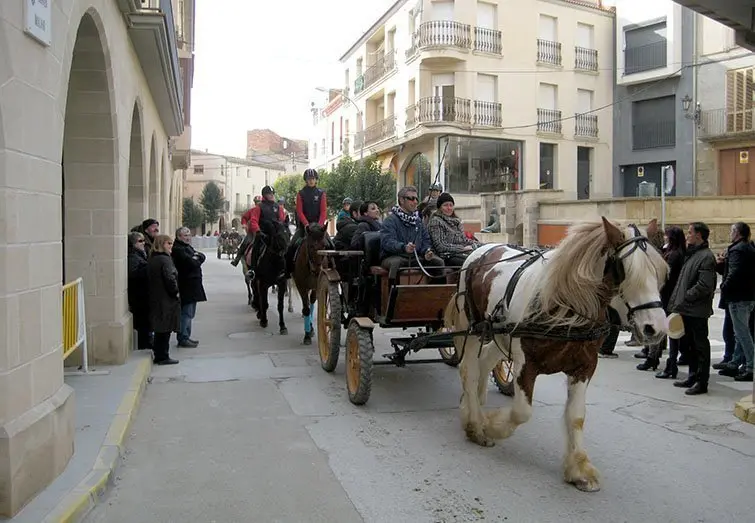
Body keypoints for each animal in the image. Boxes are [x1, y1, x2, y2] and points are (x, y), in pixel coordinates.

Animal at [442, 219, 668, 494]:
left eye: (658, 271)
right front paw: (492, 426)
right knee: (469, 370)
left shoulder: (585, 366)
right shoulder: (525, 365)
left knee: (484, 361)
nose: (656, 328)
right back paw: (476, 424)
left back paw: (471, 405)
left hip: (498, 334)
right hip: (472, 329)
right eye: (624, 271)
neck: (565, 304)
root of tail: (481, 250)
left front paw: (579, 469)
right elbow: (522, 412)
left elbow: (576, 416)